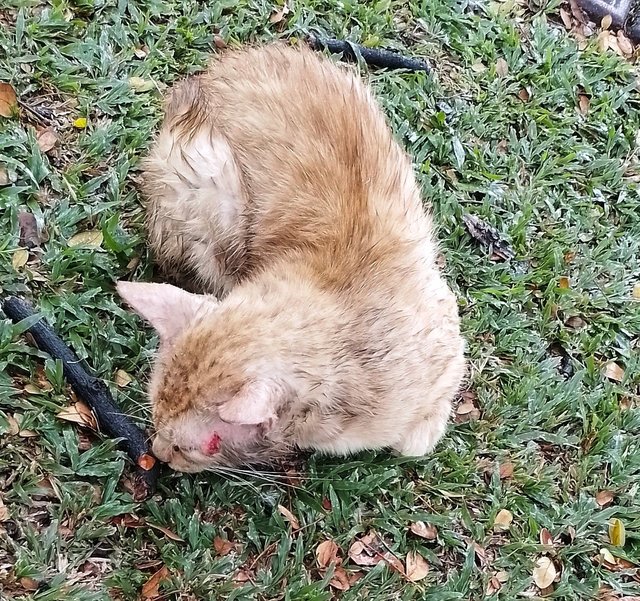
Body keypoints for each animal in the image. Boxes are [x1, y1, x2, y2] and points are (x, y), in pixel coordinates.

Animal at [116, 42, 464, 474]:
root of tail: (209, 73)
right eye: (155, 415)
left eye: (201, 445)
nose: (160, 453)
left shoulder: (447, 347)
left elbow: (416, 440)